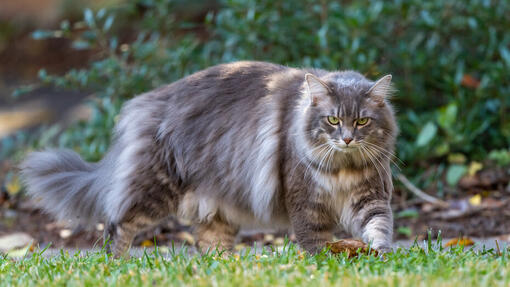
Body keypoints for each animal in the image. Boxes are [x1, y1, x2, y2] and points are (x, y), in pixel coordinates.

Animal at [20, 60, 398, 256]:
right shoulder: (306, 200)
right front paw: (323, 259)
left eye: (361, 121)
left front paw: (378, 251)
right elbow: (315, 240)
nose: (347, 138)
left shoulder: (370, 196)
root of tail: (146, 102)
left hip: (217, 208)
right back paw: (119, 265)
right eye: (332, 120)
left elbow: (378, 225)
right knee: (118, 226)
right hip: (153, 190)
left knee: (210, 244)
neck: (343, 168)